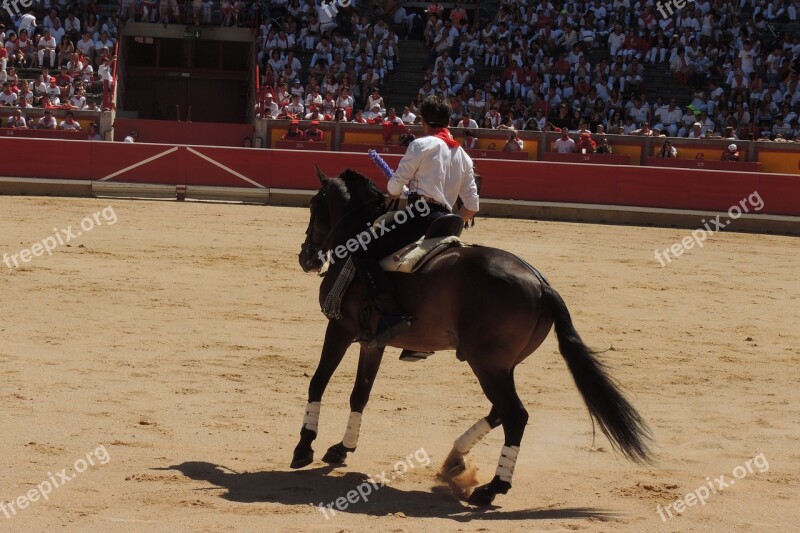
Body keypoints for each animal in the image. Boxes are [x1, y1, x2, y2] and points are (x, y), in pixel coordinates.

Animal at [292, 166, 648, 502]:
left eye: (313, 204)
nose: (306, 257)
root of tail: (542, 285)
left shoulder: (340, 328)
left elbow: (318, 381)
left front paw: (304, 447)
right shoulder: (373, 341)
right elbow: (360, 393)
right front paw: (342, 447)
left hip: (486, 363)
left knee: (515, 415)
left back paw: (492, 488)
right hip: (501, 365)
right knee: (499, 411)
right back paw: (456, 459)